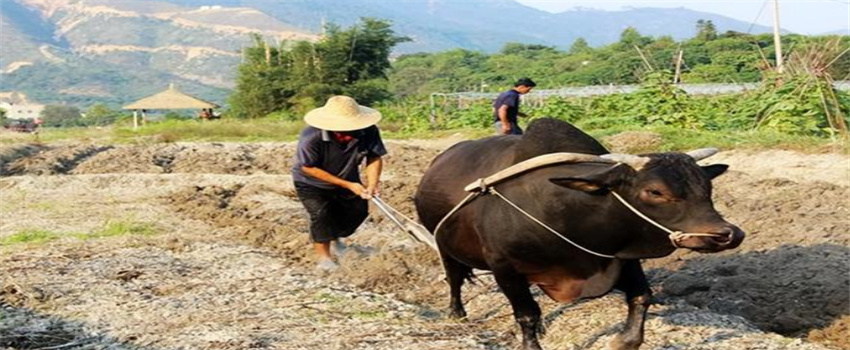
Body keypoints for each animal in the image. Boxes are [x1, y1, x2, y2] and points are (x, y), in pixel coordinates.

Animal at [410, 118, 744, 350]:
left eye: (707, 187)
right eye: (655, 191)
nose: (728, 234)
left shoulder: (622, 259)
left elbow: (641, 297)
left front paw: (622, 341)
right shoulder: (505, 269)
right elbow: (526, 314)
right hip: (444, 246)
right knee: (454, 279)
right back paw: (457, 314)